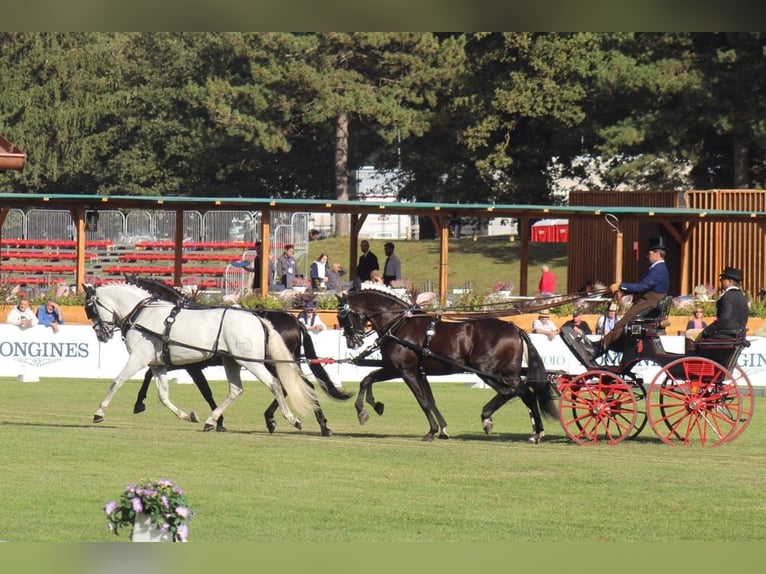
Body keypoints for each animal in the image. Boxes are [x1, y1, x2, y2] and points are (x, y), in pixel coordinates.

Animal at [85, 284, 320, 432]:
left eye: (90, 309)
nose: (101, 334)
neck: (142, 314)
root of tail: (258, 319)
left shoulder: (139, 358)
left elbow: (117, 381)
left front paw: (99, 412)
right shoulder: (158, 364)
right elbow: (163, 396)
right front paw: (187, 415)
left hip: (251, 361)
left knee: (276, 384)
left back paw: (291, 420)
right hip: (231, 361)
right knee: (236, 390)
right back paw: (211, 420)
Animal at [127, 280, 354, 436]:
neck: (173, 319)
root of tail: (295, 320)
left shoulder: (191, 365)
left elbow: (202, 391)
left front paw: (139, 402)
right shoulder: (181, 363)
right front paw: (217, 420)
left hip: (272, 363)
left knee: (292, 385)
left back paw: (310, 423)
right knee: (297, 385)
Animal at [336, 286, 560, 444]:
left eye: (344, 316)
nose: (352, 342)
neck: (399, 324)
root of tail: (514, 328)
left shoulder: (404, 370)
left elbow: (421, 400)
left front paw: (431, 431)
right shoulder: (415, 372)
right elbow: (370, 380)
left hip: (487, 371)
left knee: (512, 391)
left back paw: (487, 418)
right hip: (508, 372)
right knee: (526, 393)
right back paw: (536, 433)